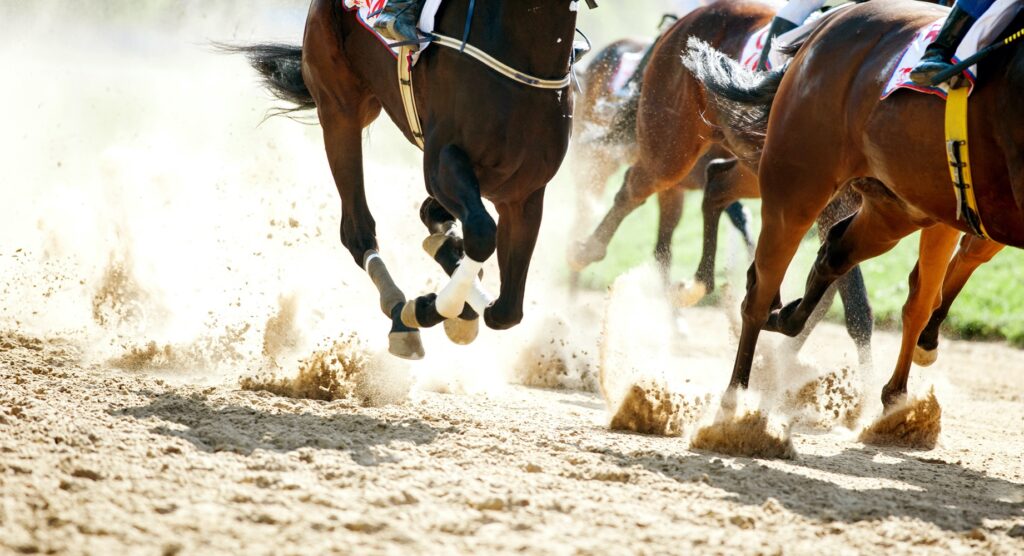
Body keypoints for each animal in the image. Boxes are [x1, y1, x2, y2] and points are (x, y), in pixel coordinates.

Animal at [234, 1, 585, 360]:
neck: (524, 52)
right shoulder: (443, 159)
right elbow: (482, 233)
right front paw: (426, 308)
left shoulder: (523, 195)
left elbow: (506, 311)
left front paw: (454, 296)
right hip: (340, 109)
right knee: (357, 231)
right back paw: (400, 314)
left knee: (430, 218)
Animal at [684, 0, 1024, 409]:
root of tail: (833, 19)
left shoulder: (961, 212)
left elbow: (927, 289)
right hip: (797, 186)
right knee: (762, 287)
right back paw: (735, 400)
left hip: (892, 210)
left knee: (833, 254)